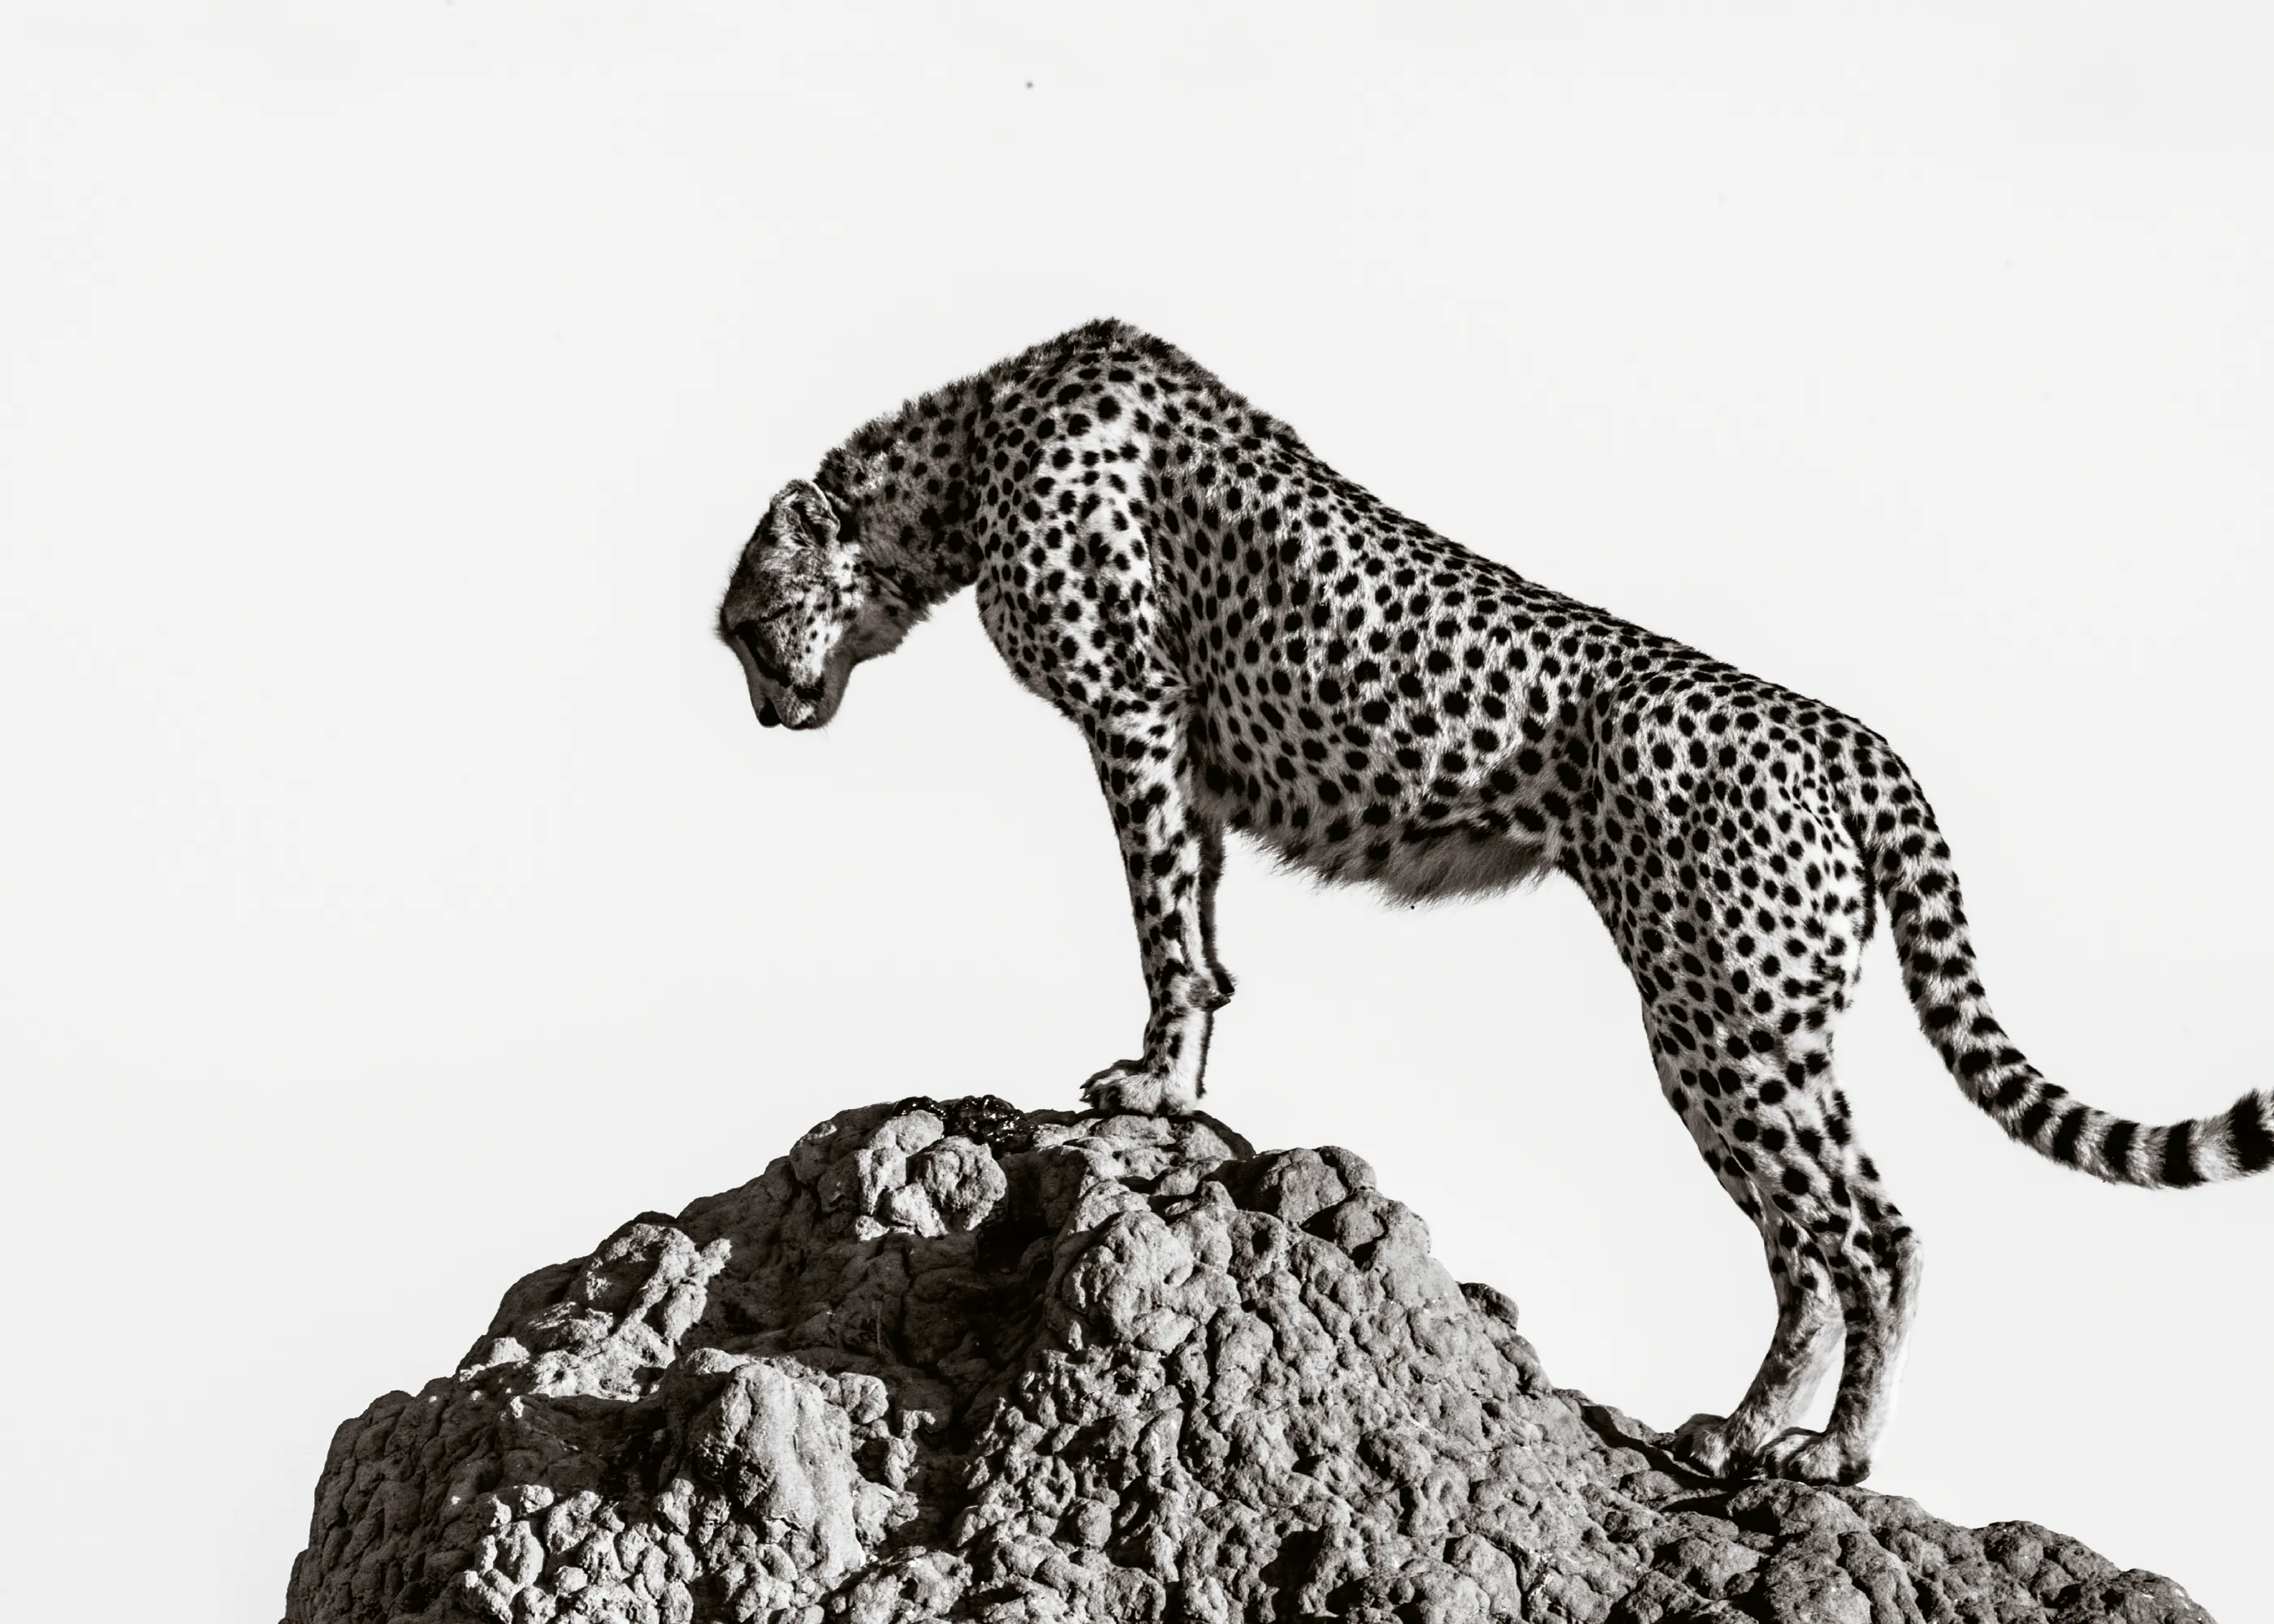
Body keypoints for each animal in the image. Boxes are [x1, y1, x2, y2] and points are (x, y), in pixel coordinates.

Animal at [715, 318, 2272, 1488]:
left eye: (747, 623)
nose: (768, 712)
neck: (966, 452)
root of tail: (1850, 735)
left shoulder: (1136, 716)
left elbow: (1163, 931)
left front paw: (1148, 1090)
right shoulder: (1194, 762)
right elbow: (1205, 942)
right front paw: (1185, 1090)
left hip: (1718, 1018)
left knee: (1858, 1230)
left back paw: (1835, 1454)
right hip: (1760, 1029)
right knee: (1819, 1238)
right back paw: (1745, 1431)